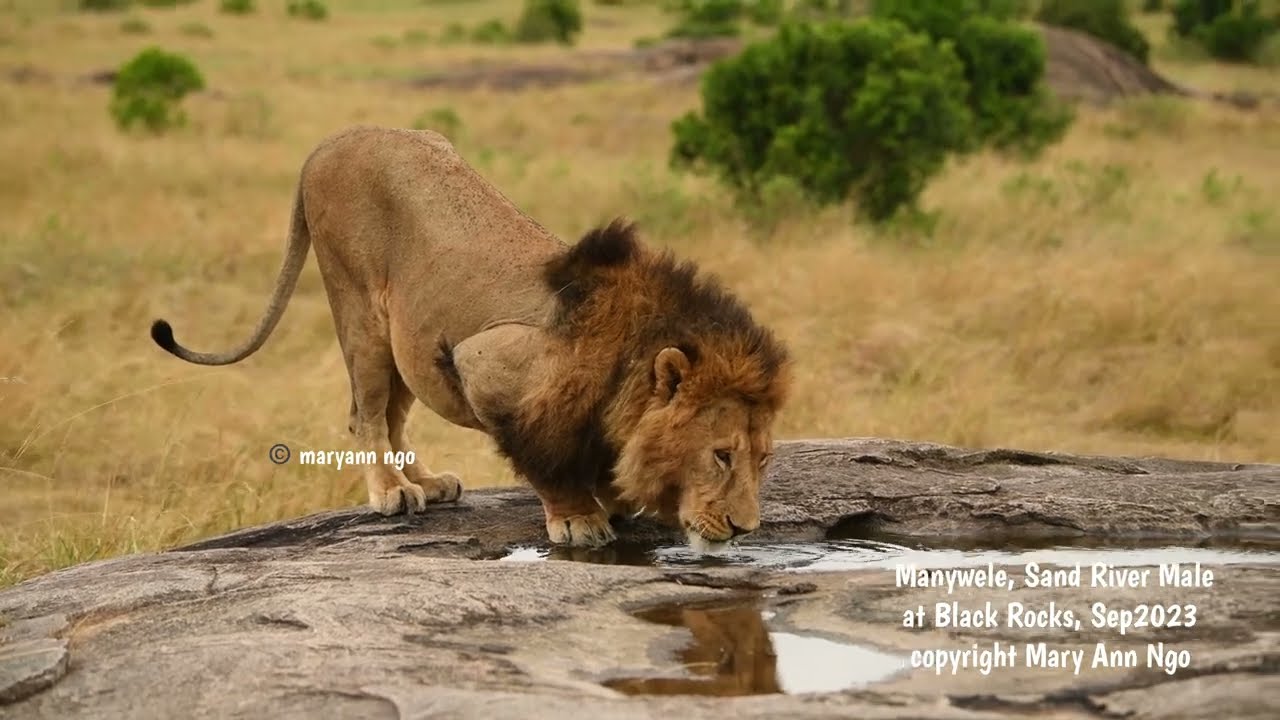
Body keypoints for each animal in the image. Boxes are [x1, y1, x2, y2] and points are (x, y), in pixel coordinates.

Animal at [150, 124, 792, 551]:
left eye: (762, 459)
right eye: (721, 455)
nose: (745, 529)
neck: (625, 360)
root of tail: (330, 141)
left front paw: (615, 499)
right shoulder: (485, 359)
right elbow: (545, 459)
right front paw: (579, 518)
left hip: (409, 340)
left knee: (395, 417)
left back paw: (427, 483)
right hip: (361, 311)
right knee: (365, 414)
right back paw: (391, 491)